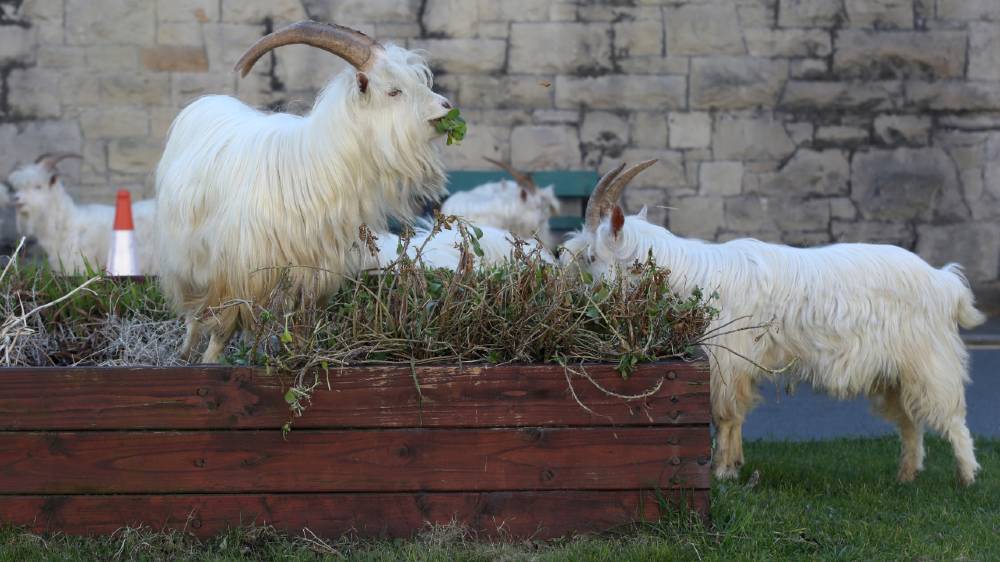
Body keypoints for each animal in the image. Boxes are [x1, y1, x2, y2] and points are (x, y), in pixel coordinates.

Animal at [154, 21, 453, 363]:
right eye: (394, 90)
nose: (446, 107)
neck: (316, 166)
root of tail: (207, 103)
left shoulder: (312, 276)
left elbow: (301, 329)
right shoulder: (237, 274)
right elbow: (222, 329)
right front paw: (209, 364)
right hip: (186, 260)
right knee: (193, 313)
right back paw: (185, 354)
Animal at [563, 160, 986, 486]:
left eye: (591, 256)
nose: (577, 298)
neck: (694, 278)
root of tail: (945, 282)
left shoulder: (727, 358)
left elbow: (726, 414)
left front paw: (722, 473)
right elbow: (736, 414)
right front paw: (735, 466)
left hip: (929, 360)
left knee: (951, 416)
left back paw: (967, 477)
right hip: (895, 371)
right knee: (910, 422)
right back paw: (906, 475)